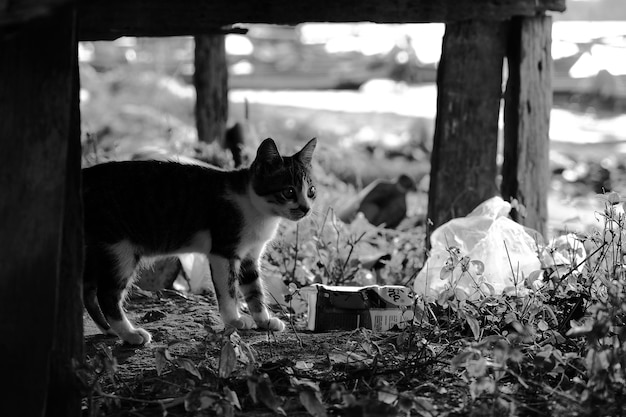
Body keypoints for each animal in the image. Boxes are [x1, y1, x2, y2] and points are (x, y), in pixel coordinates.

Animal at [81, 137, 316, 344]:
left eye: (312, 191)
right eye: (289, 191)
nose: (306, 209)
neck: (256, 208)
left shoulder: (250, 255)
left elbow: (254, 290)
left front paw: (264, 321)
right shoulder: (224, 251)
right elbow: (229, 290)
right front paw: (235, 320)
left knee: (88, 292)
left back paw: (109, 330)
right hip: (120, 248)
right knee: (106, 295)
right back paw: (130, 335)